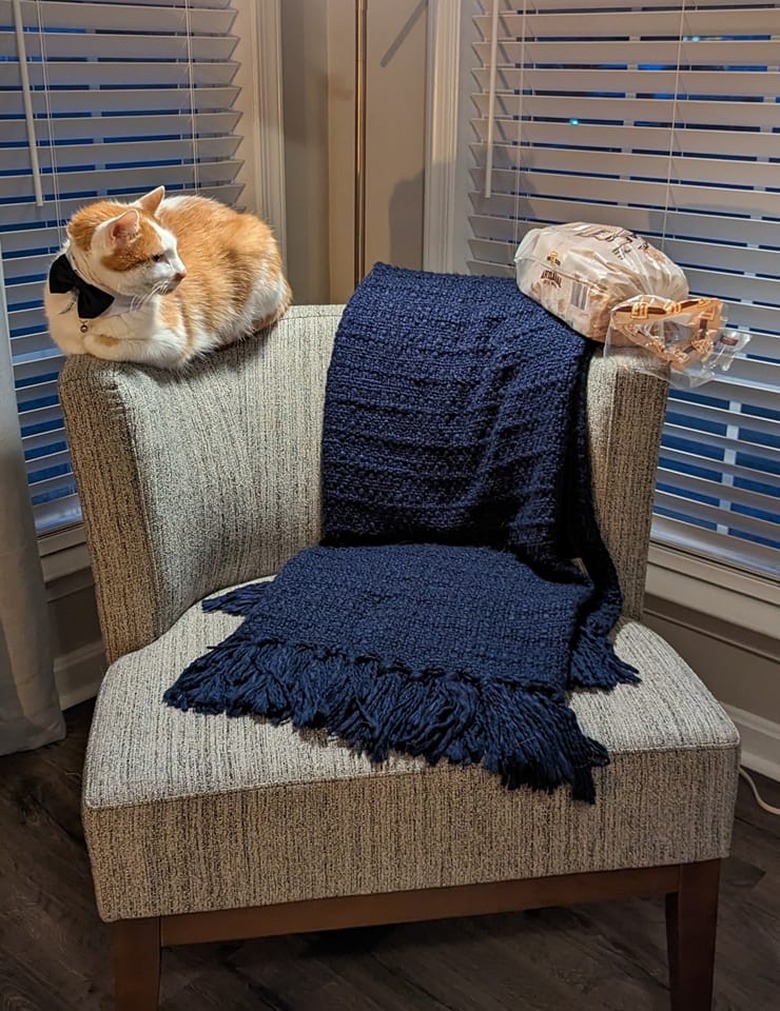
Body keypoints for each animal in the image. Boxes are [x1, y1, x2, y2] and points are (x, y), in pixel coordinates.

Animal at [44, 186, 290, 368]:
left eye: (175, 250)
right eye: (157, 257)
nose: (183, 273)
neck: (90, 302)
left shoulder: (173, 342)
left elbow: (103, 345)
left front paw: (93, 340)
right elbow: (76, 345)